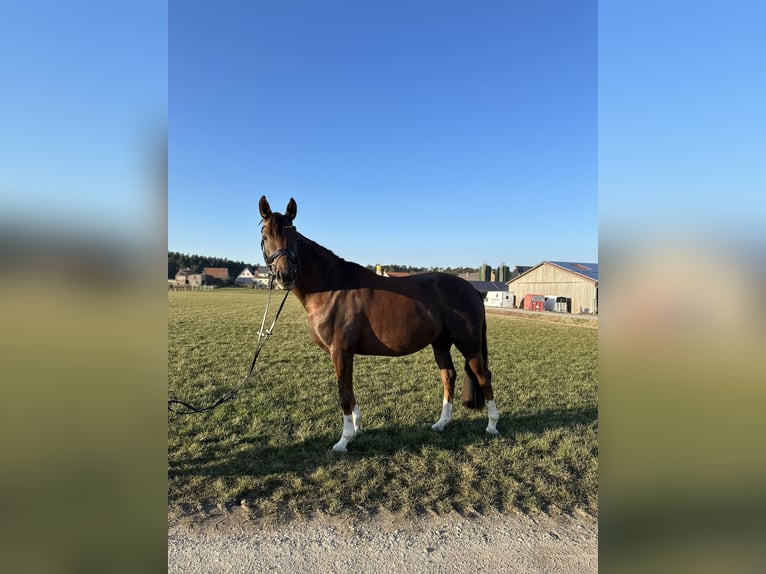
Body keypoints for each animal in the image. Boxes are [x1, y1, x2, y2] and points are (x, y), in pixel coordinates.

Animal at [259, 196, 500, 452]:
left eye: (293, 236)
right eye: (265, 236)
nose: (285, 276)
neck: (333, 287)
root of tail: (472, 290)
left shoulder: (340, 351)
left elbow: (344, 394)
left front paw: (344, 440)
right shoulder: (344, 354)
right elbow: (349, 390)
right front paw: (356, 428)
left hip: (469, 344)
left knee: (484, 376)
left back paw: (492, 425)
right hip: (441, 344)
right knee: (449, 375)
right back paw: (442, 423)